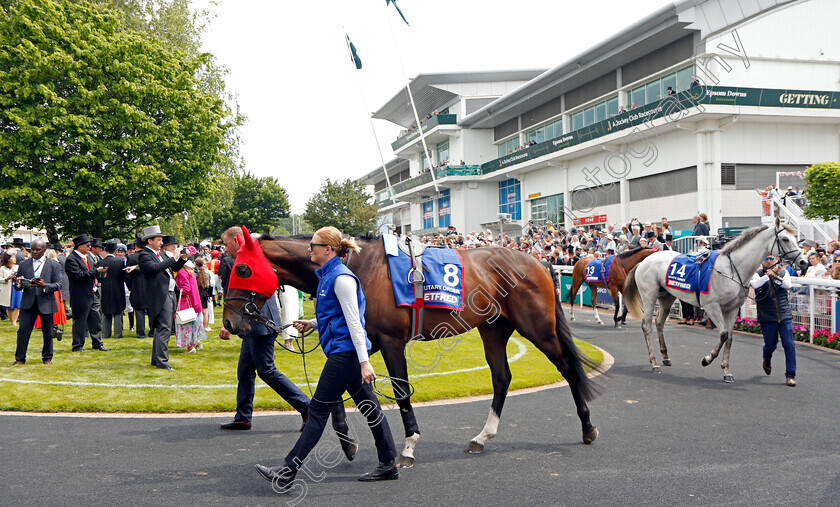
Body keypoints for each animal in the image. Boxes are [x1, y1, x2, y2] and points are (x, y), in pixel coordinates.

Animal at [223, 230, 600, 468]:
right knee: (502, 377)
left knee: (568, 368)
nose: (229, 322)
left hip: (538, 328)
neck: (358, 268)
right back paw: (482, 436)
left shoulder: (390, 341)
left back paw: (587, 427)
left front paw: (408, 446)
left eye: (241, 268)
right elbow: (342, 388)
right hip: (493, 329)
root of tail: (538, 261)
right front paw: (348, 440)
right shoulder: (366, 341)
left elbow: (401, 392)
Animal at [624, 220, 808, 382]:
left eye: (795, 238)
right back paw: (654, 362)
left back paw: (665, 356)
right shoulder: (712, 306)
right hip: (649, 296)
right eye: (785, 239)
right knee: (647, 325)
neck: (732, 270)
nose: (803, 262)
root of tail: (644, 261)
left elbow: (730, 338)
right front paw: (707, 359)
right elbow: (723, 334)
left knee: (659, 323)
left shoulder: (732, 309)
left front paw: (726, 371)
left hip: (667, 296)